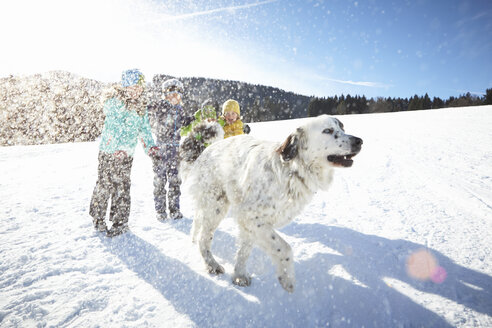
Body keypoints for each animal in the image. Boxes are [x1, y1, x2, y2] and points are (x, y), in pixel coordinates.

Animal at [180, 115, 362, 292]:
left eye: (342, 128)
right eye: (328, 131)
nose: (359, 141)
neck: (291, 170)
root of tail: (206, 150)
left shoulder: (250, 224)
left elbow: (244, 251)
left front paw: (239, 276)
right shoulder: (252, 218)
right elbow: (284, 248)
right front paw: (287, 279)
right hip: (216, 206)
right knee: (205, 238)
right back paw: (212, 264)